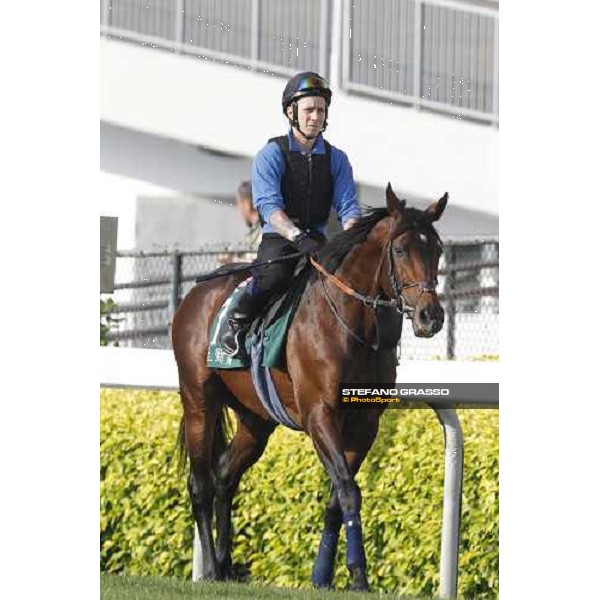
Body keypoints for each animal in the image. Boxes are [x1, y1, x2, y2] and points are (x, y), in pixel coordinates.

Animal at [171, 184, 448, 592]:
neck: (352, 324)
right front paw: (359, 575)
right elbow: (348, 490)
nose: (431, 316)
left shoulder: (365, 424)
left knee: (225, 477)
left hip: (255, 420)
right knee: (200, 484)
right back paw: (209, 570)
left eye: (438, 249)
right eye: (400, 250)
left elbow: (338, 498)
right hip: (198, 403)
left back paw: (224, 565)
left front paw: (326, 576)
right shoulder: (320, 415)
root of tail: (195, 294)